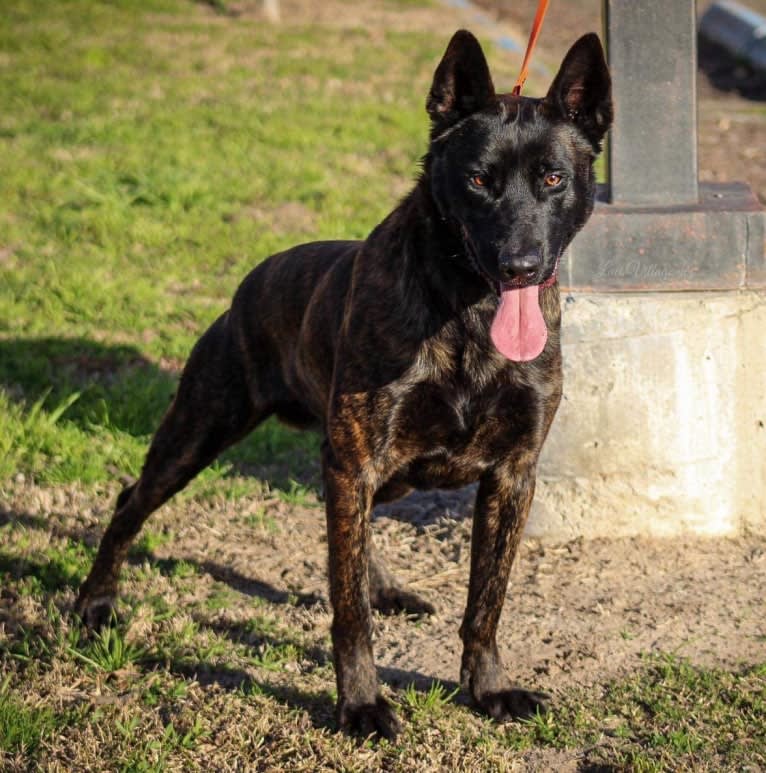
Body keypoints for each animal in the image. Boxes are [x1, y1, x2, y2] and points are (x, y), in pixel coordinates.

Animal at [76, 30, 612, 740]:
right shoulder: (357, 460)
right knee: (131, 502)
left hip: (376, 472)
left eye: (553, 178)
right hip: (200, 434)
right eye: (477, 180)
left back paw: (385, 586)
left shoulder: (510, 475)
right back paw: (94, 601)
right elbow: (348, 610)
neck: (467, 312)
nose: (519, 267)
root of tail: (256, 276)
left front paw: (488, 688)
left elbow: (485, 601)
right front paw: (359, 703)